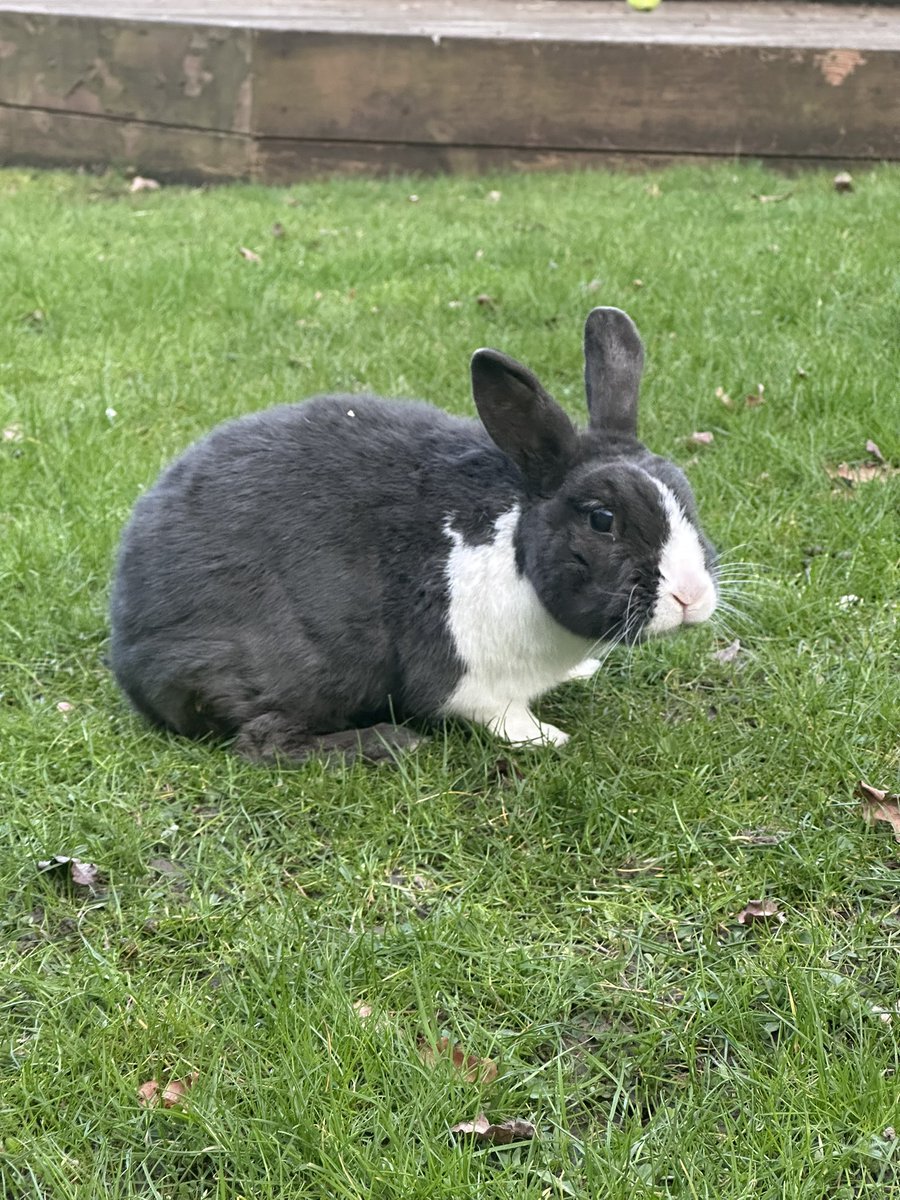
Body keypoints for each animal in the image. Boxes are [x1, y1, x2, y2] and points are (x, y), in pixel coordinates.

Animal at [109, 307, 718, 764]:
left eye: (685, 492)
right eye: (602, 519)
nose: (690, 597)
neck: (515, 552)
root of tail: (132, 659)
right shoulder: (467, 669)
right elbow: (497, 712)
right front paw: (546, 738)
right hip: (298, 674)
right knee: (264, 741)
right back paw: (389, 743)